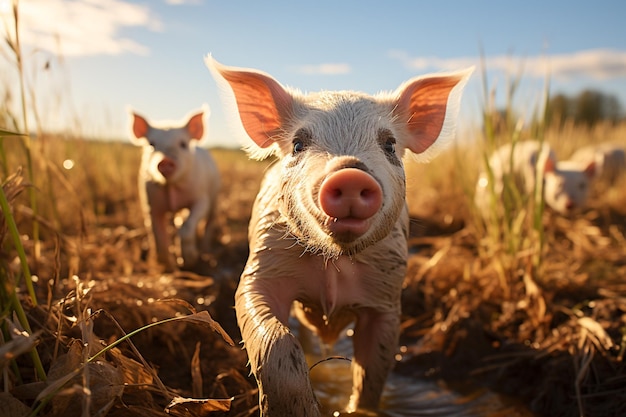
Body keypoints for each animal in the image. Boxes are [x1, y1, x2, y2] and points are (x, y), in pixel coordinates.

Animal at [128, 105, 221, 272]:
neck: (171, 187)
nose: (165, 161)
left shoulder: (201, 199)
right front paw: (168, 267)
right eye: (151, 145)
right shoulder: (150, 204)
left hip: (215, 197)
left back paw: (205, 251)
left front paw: (189, 262)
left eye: (183, 144)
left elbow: (187, 226)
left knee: (209, 222)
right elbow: (157, 235)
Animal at [207, 56, 470, 416]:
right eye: (298, 144)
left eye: (389, 144)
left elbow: (373, 371)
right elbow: (274, 340)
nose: (349, 173)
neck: (333, 266)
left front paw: (359, 408)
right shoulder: (260, 270)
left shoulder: (387, 296)